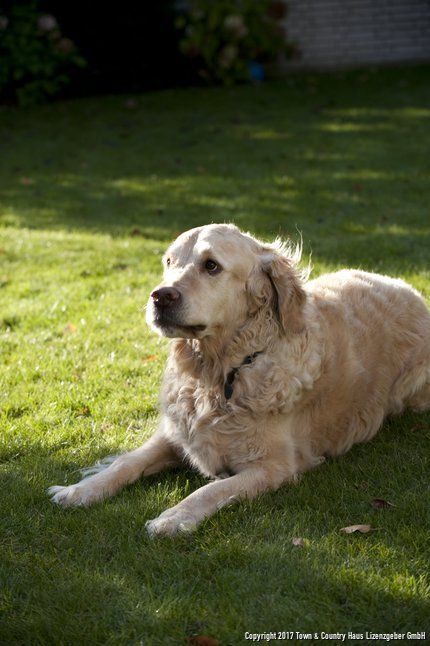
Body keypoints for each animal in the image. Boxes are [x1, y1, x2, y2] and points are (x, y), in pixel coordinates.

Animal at [48, 223, 430, 536]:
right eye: (169, 262)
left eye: (211, 266)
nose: (160, 296)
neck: (218, 374)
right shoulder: (175, 435)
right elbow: (126, 462)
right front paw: (78, 491)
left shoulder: (275, 466)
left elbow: (211, 488)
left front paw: (173, 517)